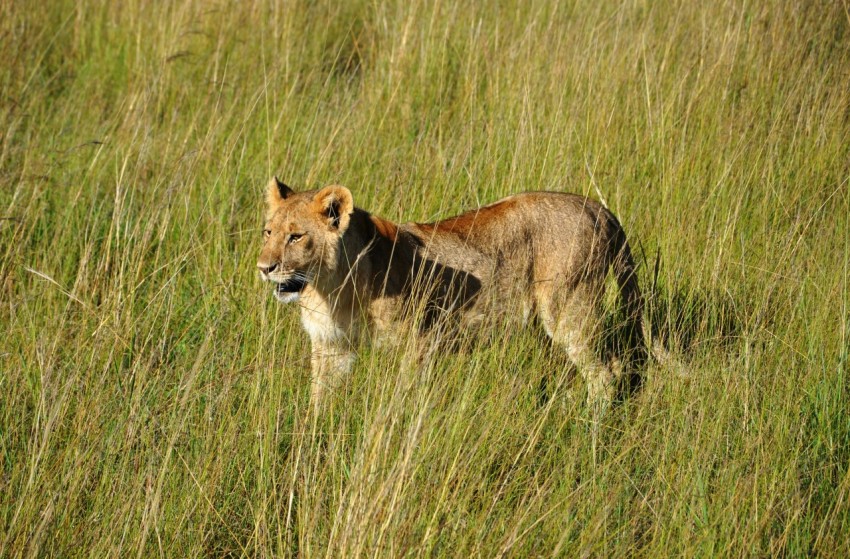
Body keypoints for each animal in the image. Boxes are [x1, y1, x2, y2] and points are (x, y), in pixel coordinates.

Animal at [258, 177, 645, 409]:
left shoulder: (421, 338)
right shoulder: (332, 346)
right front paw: (312, 441)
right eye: (268, 232)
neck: (329, 288)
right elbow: (320, 397)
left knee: (607, 373)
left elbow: (405, 395)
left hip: (569, 309)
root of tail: (597, 207)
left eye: (296, 237)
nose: (264, 267)